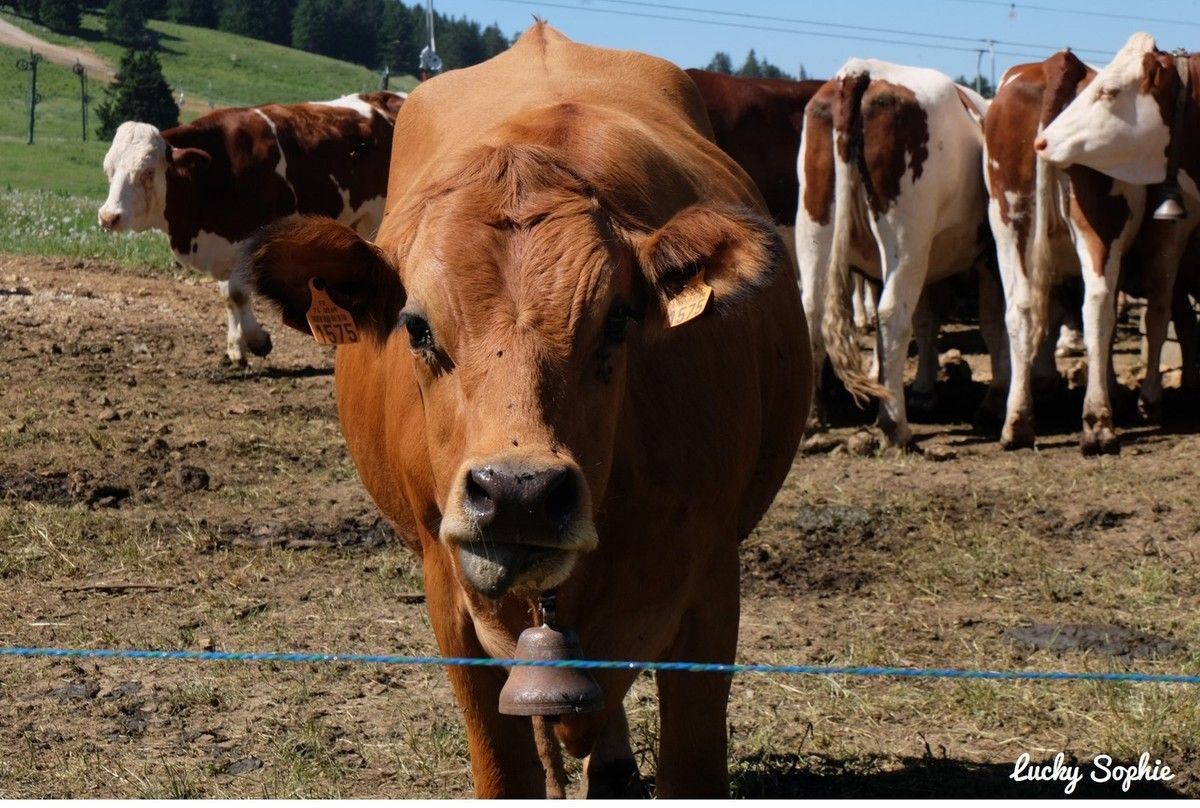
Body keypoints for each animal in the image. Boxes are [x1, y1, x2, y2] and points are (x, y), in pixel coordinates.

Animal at [98, 91, 405, 366]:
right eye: (108, 169)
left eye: (148, 172)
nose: (108, 216)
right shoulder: (224, 246)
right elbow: (229, 297)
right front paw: (236, 347)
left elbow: (238, 293)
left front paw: (258, 341)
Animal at [240, 23, 810, 798]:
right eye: (418, 327)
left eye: (618, 321)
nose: (520, 493)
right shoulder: (452, 601)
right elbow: (503, 769)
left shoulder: (711, 596)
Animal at [796, 59, 997, 448]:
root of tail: (859, 71)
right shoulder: (988, 259)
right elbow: (995, 326)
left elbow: (927, 321)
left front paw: (924, 392)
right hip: (907, 240)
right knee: (892, 314)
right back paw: (894, 424)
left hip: (814, 226)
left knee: (811, 311)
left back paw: (812, 420)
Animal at [984, 50, 1146, 454]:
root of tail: (1060, 61)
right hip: (1101, 225)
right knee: (1098, 305)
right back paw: (1098, 421)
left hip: (1009, 220)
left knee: (1023, 309)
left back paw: (1018, 422)